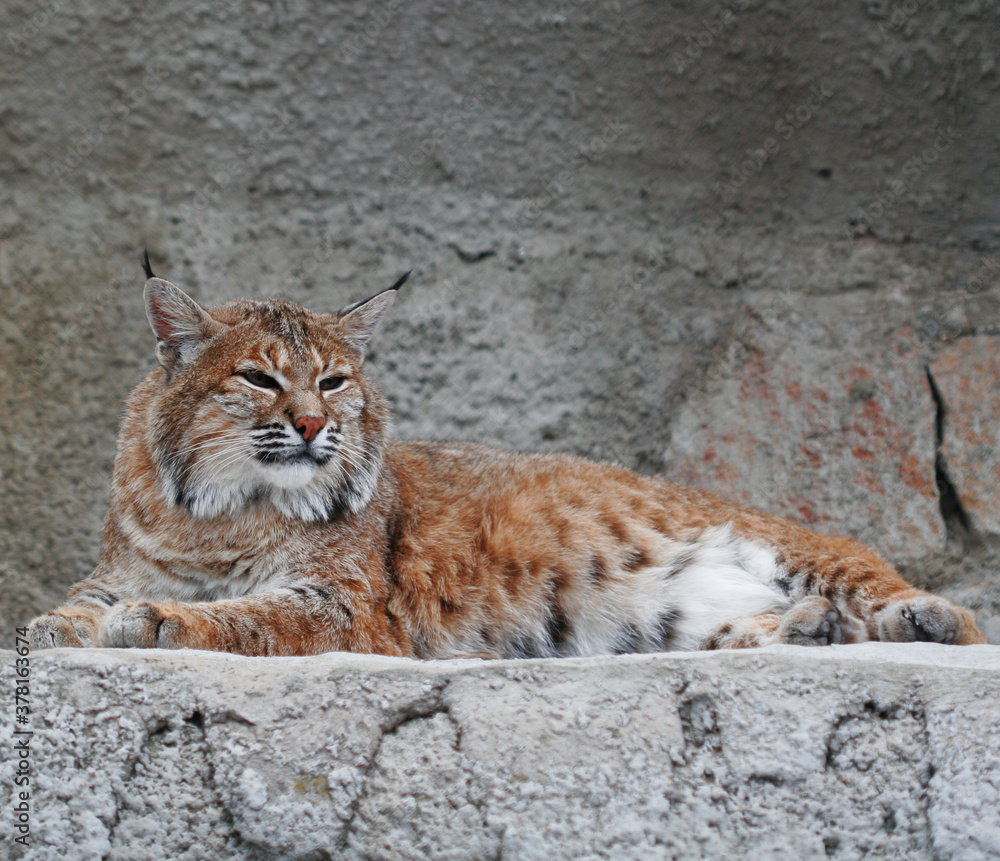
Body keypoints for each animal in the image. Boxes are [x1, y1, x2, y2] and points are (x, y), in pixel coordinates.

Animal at [28, 256, 986, 657]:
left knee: (926, 601)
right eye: (260, 378)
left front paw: (164, 622)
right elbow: (69, 609)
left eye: (334, 380)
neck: (216, 509)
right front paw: (59, 626)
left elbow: (246, 616)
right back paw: (804, 629)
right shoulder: (118, 566)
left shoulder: (346, 607)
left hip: (788, 537)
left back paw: (918, 617)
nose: (310, 425)